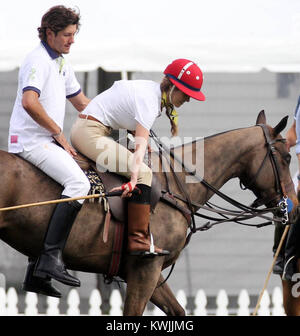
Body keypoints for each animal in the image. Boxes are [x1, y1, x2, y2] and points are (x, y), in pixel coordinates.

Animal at [0, 110, 298, 316]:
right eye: (286, 157)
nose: (293, 207)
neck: (175, 185)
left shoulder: (151, 275)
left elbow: (178, 311)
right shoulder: (146, 269)